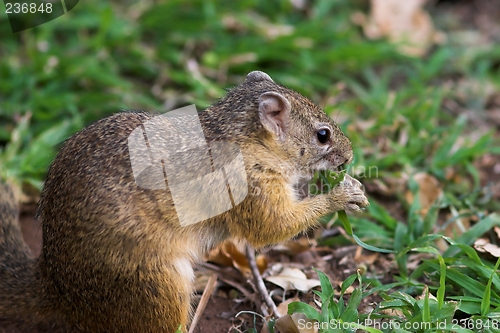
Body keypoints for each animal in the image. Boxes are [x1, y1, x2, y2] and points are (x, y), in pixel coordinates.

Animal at [0, 70, 368, 332]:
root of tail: (56, 286)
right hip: (158, 283)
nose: (349, 156)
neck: (244, 140)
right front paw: (343, 194)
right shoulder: (249, 186)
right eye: (322, 135)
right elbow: (271, 227)